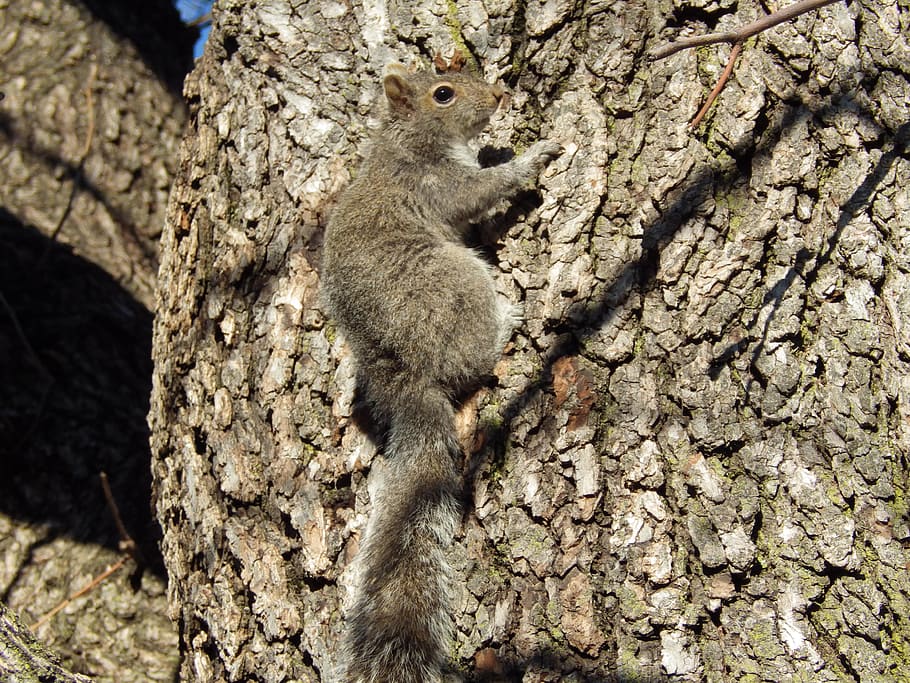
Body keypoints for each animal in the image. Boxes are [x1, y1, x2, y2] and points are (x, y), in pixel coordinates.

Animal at [321, 61, 562, 683]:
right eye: (443, 94)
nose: (499, 94)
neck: (408, 141)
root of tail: (406, 380)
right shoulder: (436, 185)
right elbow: (481, 190)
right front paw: (536, 154)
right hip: (454, 283)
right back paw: (510, 322)